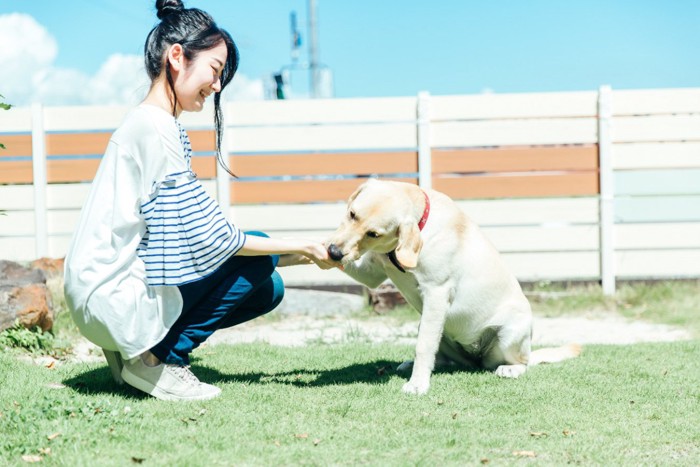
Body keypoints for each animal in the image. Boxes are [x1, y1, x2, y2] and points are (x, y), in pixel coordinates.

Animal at [326, 179, 584, 394]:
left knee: (522, 362)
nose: (334, 252)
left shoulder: (436, 293)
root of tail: (475, 359)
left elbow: (424, 346)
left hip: (509, 333)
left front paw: (418, 384)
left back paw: (510, 368)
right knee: (443, 357)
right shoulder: (371, 273)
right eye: (352, 214)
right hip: (437, 328)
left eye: (373, 233)